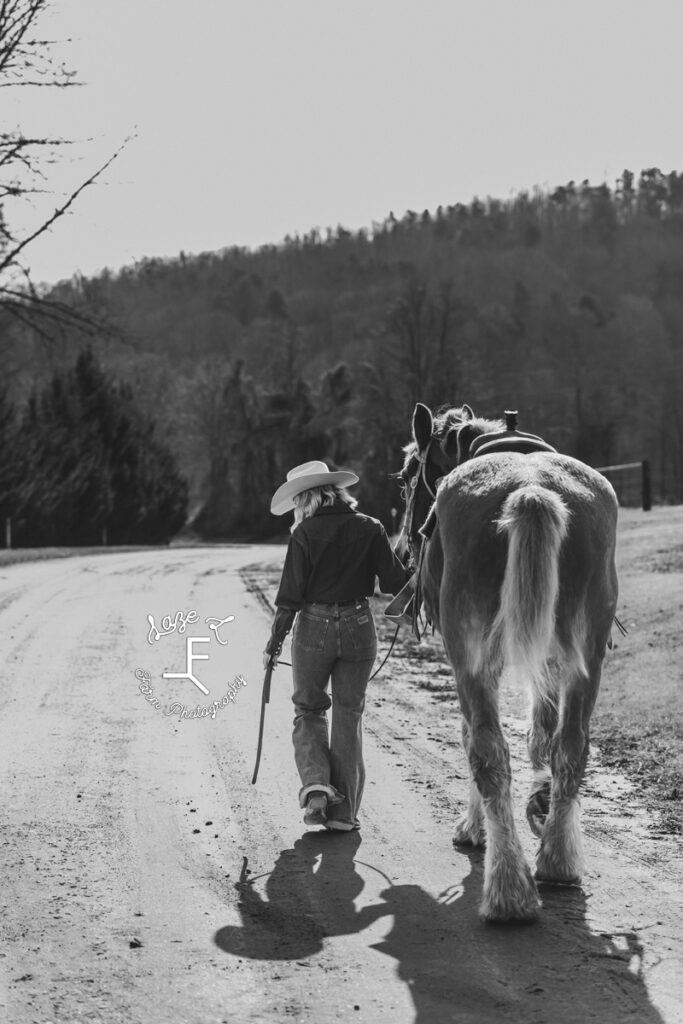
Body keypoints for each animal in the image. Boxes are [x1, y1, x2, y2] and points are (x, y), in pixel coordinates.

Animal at [397, 399, 622, 921]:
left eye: (407, 476)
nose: (402, 548)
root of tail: (531, 491)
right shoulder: (552, 655)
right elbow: (542, 730)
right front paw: (540, 801)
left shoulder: (477, 659)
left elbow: (471, 737)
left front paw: (475, 827)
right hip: (585, 656)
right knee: (571, 745)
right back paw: (558, 859)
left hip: (472, 656)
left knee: (487, 749)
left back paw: (507, 889)